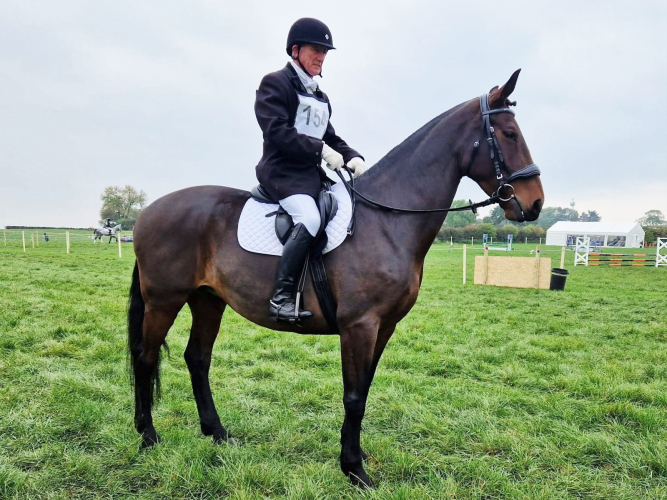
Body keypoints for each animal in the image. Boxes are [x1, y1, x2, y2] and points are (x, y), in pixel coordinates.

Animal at [127, 70, 544, 488]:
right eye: (509, 134)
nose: (535, 203)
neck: (387, 220)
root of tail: (147, 213)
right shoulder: (359, 325)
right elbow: (354, 397)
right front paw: (355, 470)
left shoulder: (385, 326)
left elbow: (364, 391)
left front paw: (355, 460)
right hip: (164, 300)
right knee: (146, 357)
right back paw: (148, 436)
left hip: (208, 300)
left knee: (197, 358)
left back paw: (216, 432)